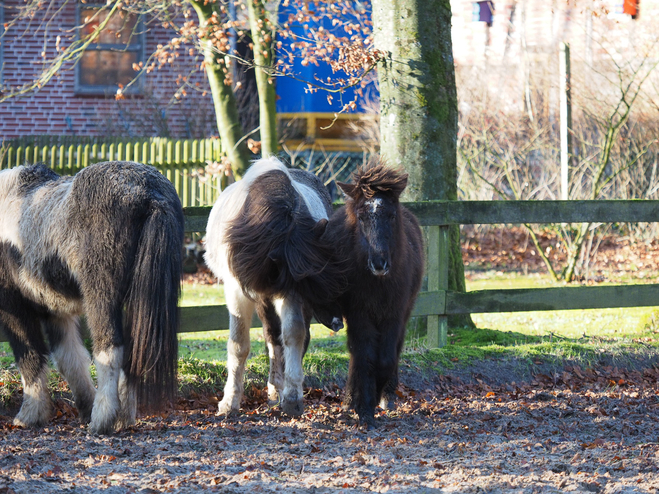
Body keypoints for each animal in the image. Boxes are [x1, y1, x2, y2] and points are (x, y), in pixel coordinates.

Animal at [0, 161, 183, 432]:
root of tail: (150, 195)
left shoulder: (14, 306)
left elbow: (29, 355)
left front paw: (30, 415)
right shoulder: (55, 310)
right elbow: (70, 359)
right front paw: (84, 406)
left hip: (101, 297)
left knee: (110, 348)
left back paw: (103, 420)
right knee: (132, 354)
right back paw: (123, 418)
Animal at [205, 157, 346, 416]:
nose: (337, 322)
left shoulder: (289, 293)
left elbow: (293, 335)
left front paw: (291, 398)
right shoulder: (238, 291)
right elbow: (239, 345)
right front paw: (230, 403)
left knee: (279, 339)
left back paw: (277, 389)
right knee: (271, 338)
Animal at [322, 160, 426, 426]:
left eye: (391, 215)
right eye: (361, 217)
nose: (379, 263)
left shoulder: (395, 313)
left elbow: (387, 357)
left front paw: (378, 395)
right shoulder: (359, 313)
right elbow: (364, 356)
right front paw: (363, 406)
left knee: (394, 349)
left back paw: (386, 396)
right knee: (356, 354)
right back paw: (351, 399)